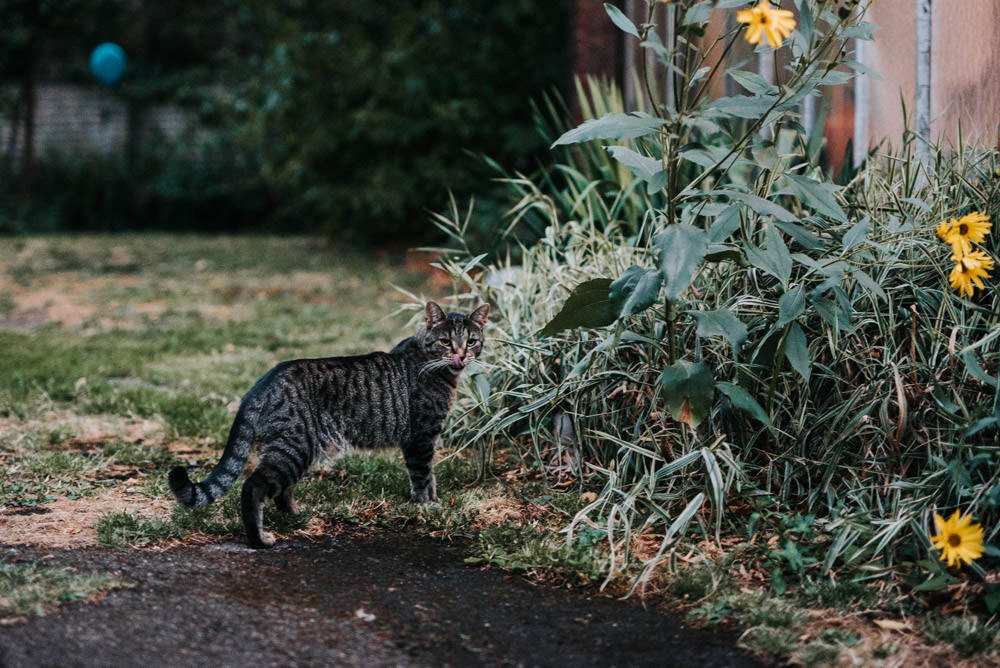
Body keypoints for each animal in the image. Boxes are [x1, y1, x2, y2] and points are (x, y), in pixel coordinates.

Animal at [170, 302, 490, 548]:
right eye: (446, 341)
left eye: (471, 341)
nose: (461, 355)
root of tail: (261, 384)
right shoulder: (420, 438)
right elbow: (423, 477)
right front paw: (428, 507)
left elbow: (430, 477)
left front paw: (434, 503)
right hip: (293, 447)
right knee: (253, 487)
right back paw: (259, 540)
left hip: (297, 450)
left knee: (281, 490)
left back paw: (295, 515)